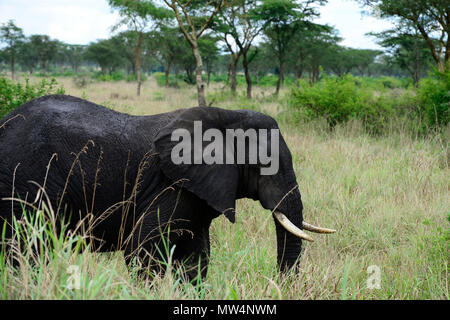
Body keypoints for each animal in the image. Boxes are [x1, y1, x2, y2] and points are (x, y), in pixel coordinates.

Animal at [0, 94, 334, 280]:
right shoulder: (168, 185)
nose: (279, 286)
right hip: (25, 181)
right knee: (25, 247)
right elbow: (142, 249)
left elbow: (196, 257)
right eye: (264, 165)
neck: (227, 116)